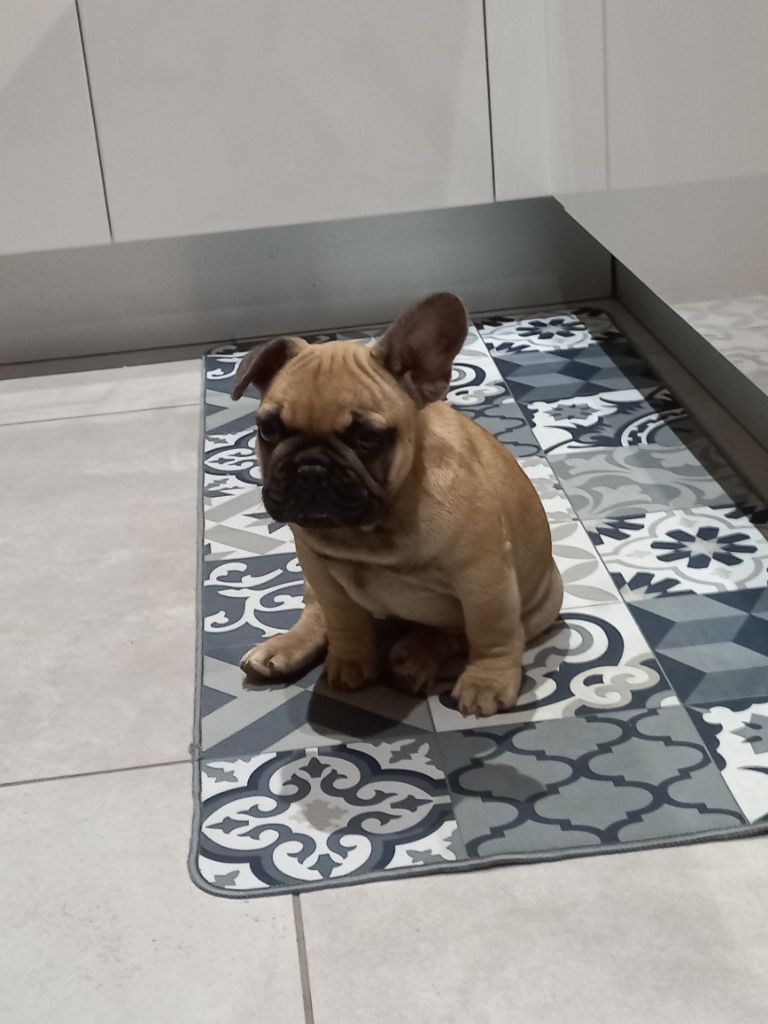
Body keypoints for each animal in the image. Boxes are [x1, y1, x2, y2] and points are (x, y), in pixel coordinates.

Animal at [231, 292, 562, 716]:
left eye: (368, 439)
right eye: (268, 430)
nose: (311, 468)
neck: (375, 527)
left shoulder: (484, 578)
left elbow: (491, 633)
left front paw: (486, 681)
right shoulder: (321, 569)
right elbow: (343, 619)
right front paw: (351, 659)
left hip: (543, 602)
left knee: (454, 634)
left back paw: (414, 658)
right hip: (311, 577)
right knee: (317, 611)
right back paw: (286, 647)